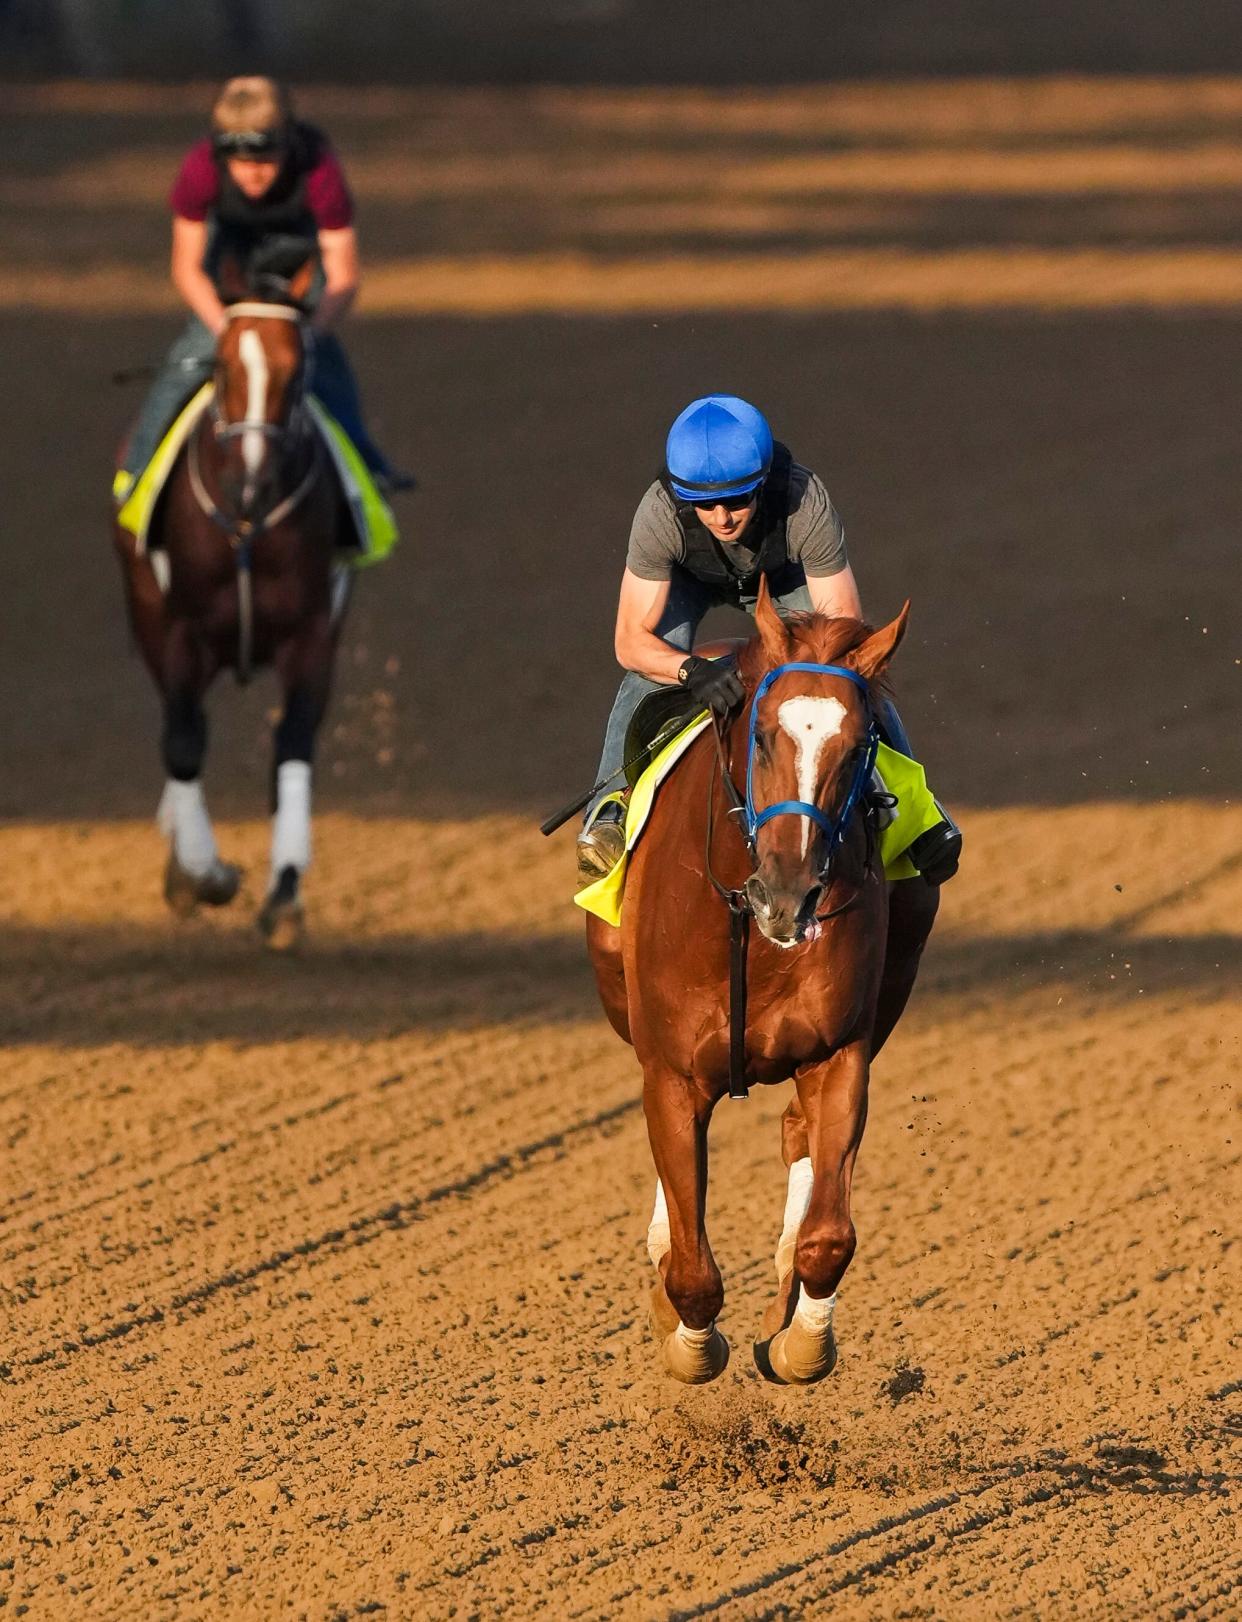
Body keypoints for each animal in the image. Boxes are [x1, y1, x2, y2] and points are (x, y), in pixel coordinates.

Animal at [113, 246, 353, 947]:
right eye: (223, 365)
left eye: (298, 369)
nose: (253, 478)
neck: (247, 525)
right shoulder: (178, 630)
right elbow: (183, 741)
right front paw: (203, 872)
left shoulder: (311, 633)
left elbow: (292, 745)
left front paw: (285, 894)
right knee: (180, 725)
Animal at [590, 580, 940, 1381]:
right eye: (762, 737)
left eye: (860, 745)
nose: (790, 893)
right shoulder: (671, 1071)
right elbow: (691, 1267)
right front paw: (690, 1343)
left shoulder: (838, 1053)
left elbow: (828, 1239)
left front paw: (800, 1344)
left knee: (796, 1138)